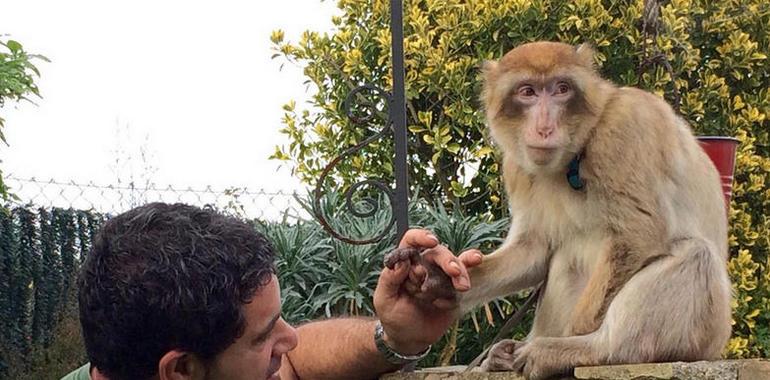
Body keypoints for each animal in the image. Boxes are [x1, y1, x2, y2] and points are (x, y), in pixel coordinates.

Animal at [408, 41, 728, 380]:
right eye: (528, 92)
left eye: (561, 89)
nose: (544, 128)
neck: (579, 149)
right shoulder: (516, 168)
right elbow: (534, 249)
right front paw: (440, 278)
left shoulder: (625, 128)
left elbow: (640, 232)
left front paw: (575, 337)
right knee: (566, 256)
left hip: (705, 335)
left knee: (697, 256)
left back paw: (585, 349)